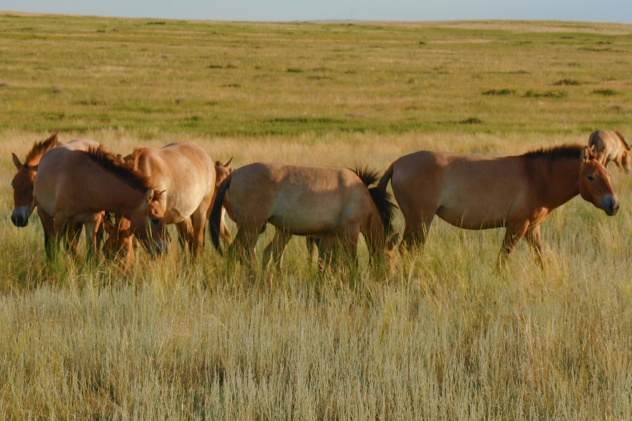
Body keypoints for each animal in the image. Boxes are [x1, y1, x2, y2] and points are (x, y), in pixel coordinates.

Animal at [34, 145, 167, 260]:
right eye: (155, 219)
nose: (163, 249)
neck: (86, 181)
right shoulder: (60, 219)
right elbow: (54, 248)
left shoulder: (92, 221)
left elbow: (92, 253)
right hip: (44, 214)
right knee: (50, 244)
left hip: (74, 223)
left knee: (70, 245)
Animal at [207, 162, 396, 268]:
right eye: (390, 259)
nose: (385, 280)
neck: (361, 196)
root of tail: (233, 175)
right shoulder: (350, 232)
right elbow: (351, 262)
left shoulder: (328, 235)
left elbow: (327, 263)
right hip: (250, 228)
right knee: (237, 253)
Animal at [376, 143, 616, 264]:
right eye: (591, 177)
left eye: (608, 174)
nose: (614, 205)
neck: (537, 178)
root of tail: (397, 164)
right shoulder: (517, 226)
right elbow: (502, 258)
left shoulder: (532, 229)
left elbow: (540, 259)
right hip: (420, 220)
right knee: (407, 251)